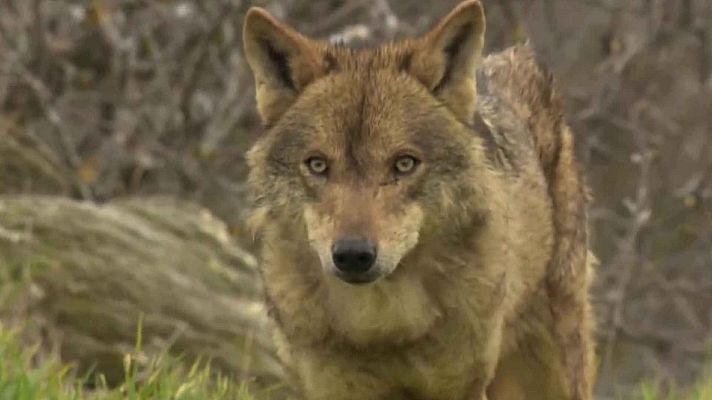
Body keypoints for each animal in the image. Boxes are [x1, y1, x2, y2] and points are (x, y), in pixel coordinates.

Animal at [242, 1, 595, 399]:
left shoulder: (460, 386)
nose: (352, 255)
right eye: (317, 164)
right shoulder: (331, 388)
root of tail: (514, 57)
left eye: (404, 163)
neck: (381, 325)